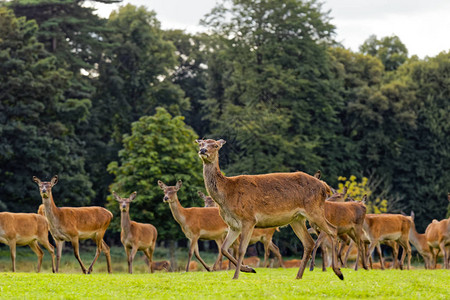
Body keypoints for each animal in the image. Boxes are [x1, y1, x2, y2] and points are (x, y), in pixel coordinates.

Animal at [195, 139, 342, 280]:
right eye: (201, 143)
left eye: (215, 145)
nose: (203, 150)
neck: (227, 194)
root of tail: (324, 186)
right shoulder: (234, 225)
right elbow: (224, 249)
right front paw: (248, 269)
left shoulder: (249, 219)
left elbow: (242, 250)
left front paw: (236, 276)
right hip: (297, 219)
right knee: (309, 243)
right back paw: (298, 276)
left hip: (314, 210)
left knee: (333, 230)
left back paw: (338, 271)